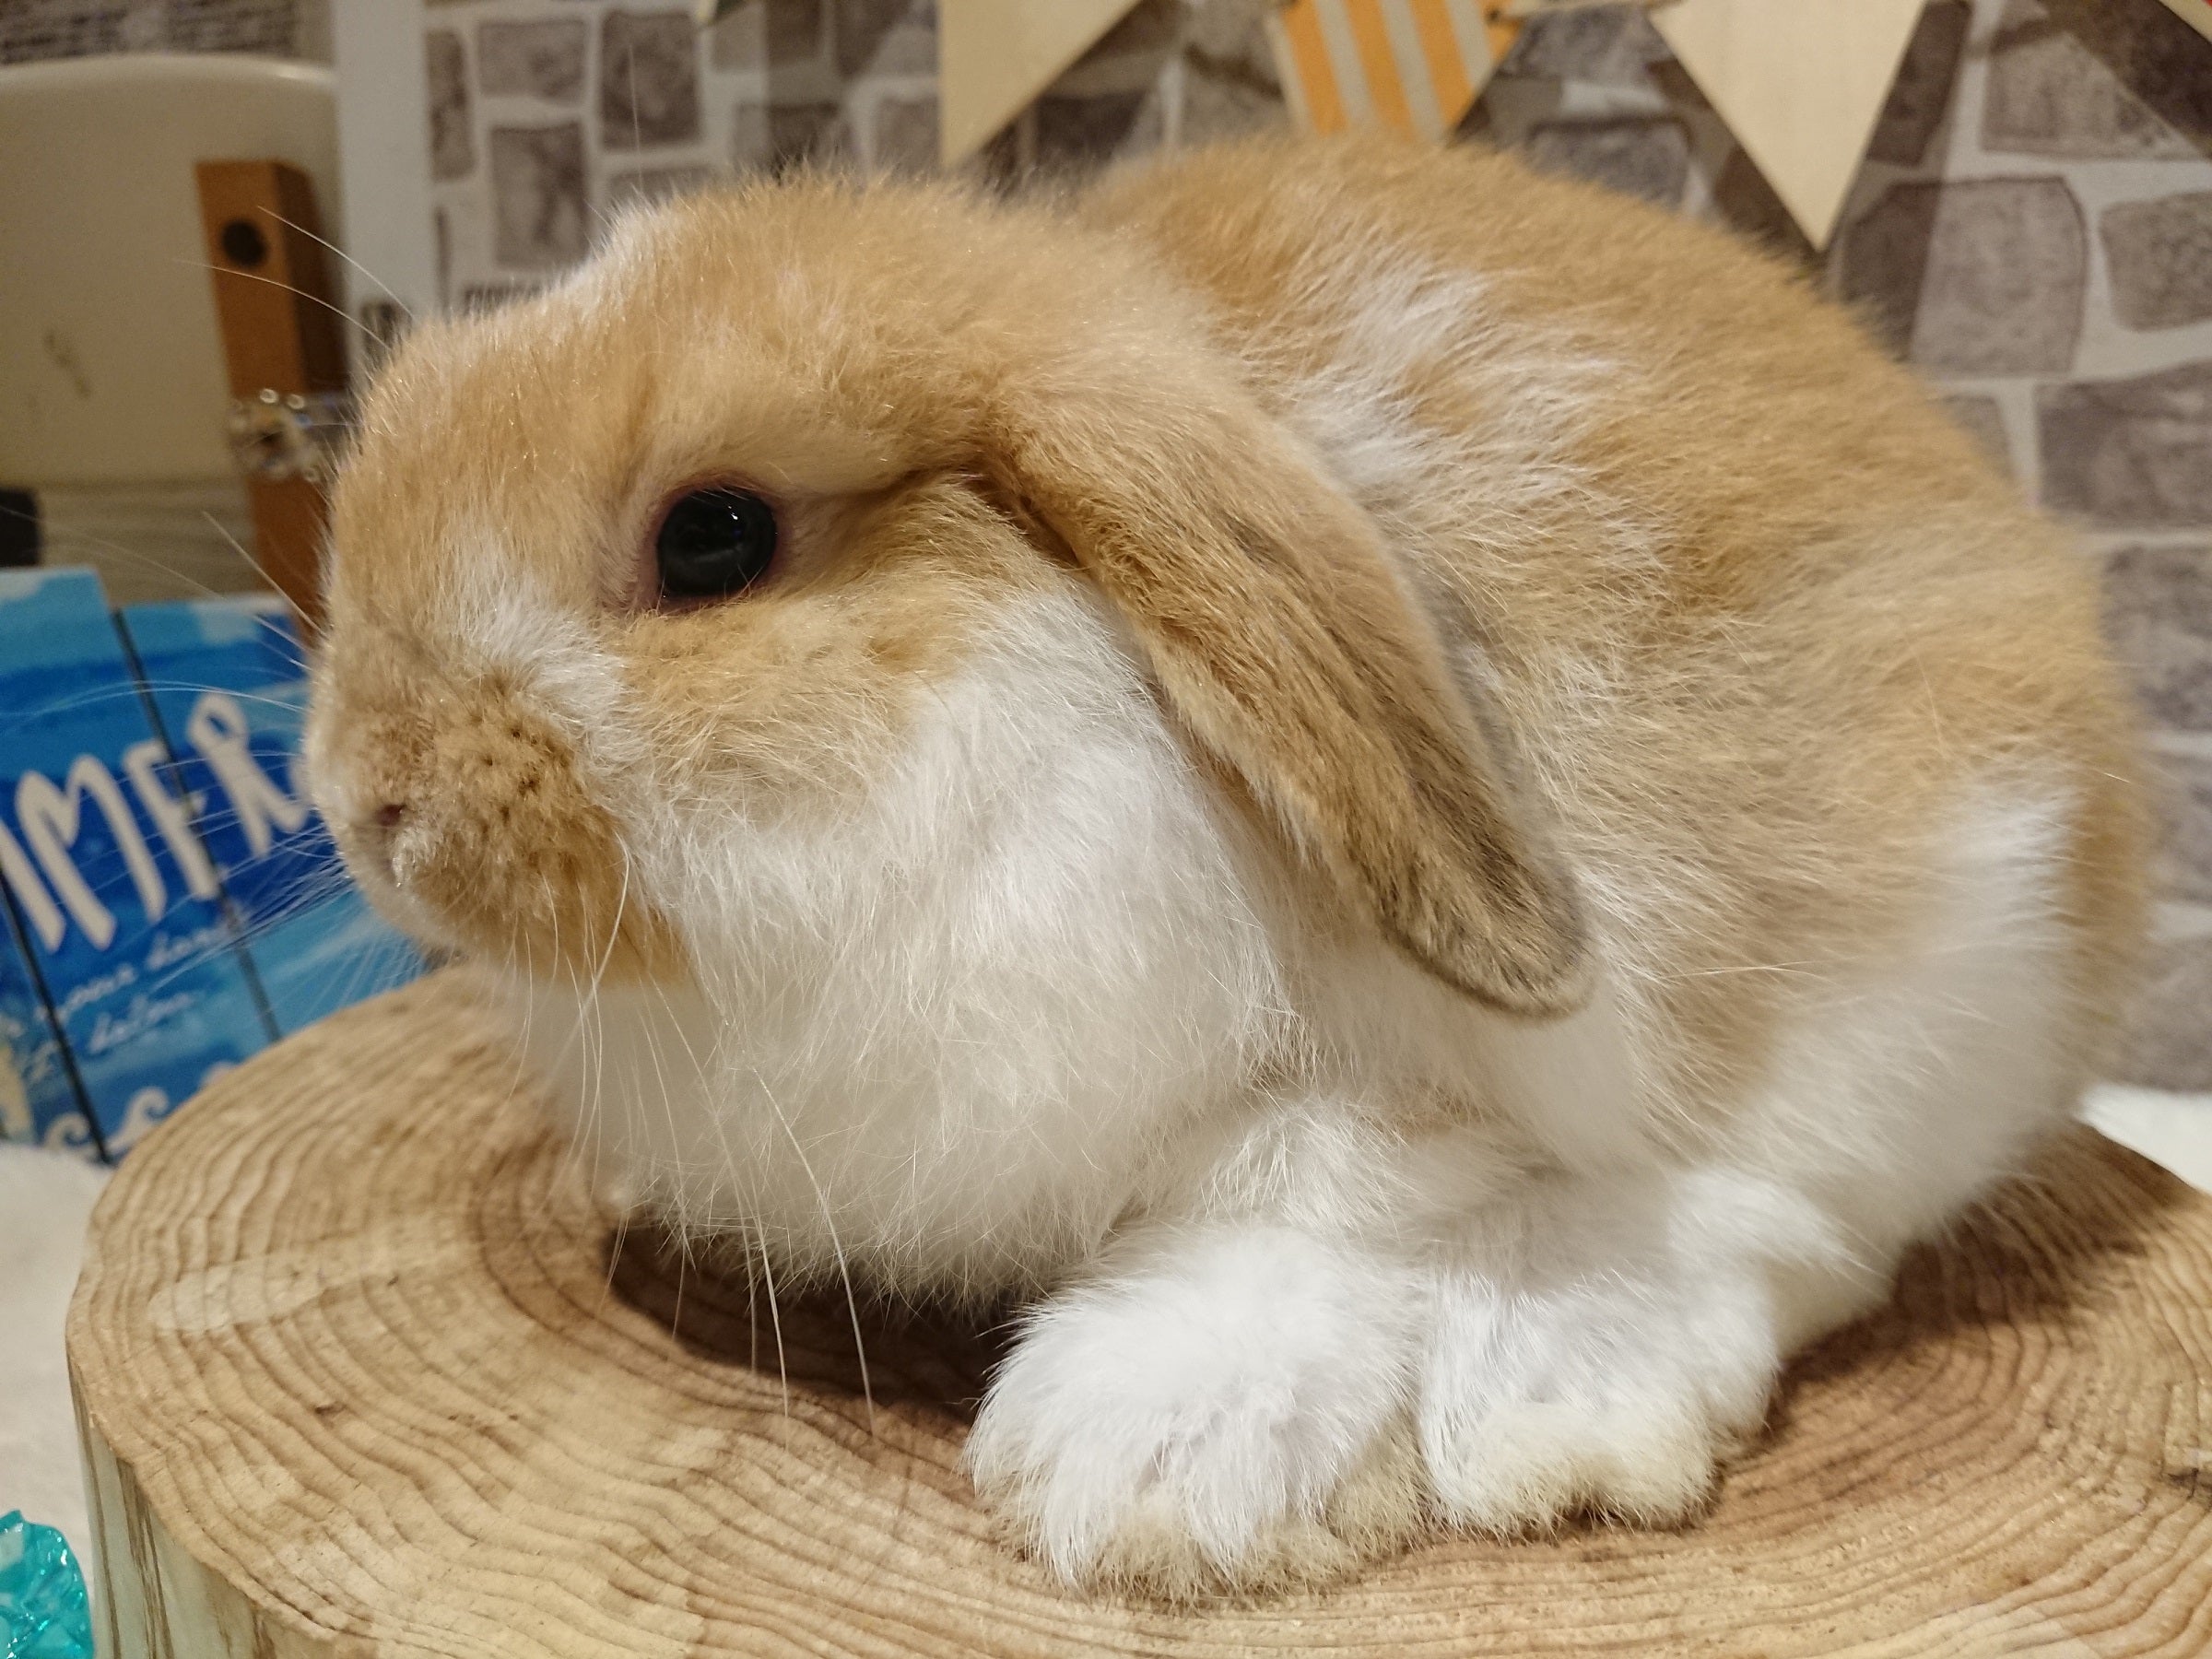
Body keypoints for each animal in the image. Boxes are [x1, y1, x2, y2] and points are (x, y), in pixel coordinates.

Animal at [304, 133, 2147, 1598]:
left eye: (714, 538)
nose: (363, 801)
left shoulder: (1372, 1096)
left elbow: (1310, 1208)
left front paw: (1148, 1484)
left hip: (1942, 962)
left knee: (1782, 1221)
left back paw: (1559, 1407)